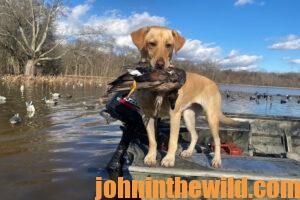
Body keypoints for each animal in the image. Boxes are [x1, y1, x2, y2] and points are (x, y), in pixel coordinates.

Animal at [130, 25, 238, 168]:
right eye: (151, 44)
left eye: (169, 45)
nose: (160, 65)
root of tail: (213, 83)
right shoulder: (147, 115)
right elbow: (152, 140)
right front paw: (151, 157)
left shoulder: (174, 115)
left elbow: (172, 140)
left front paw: (169, 159)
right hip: (188, 116)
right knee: (195, 135)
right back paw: (189, 152)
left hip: (211, 117)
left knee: (218, 140)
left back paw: (216, 160)